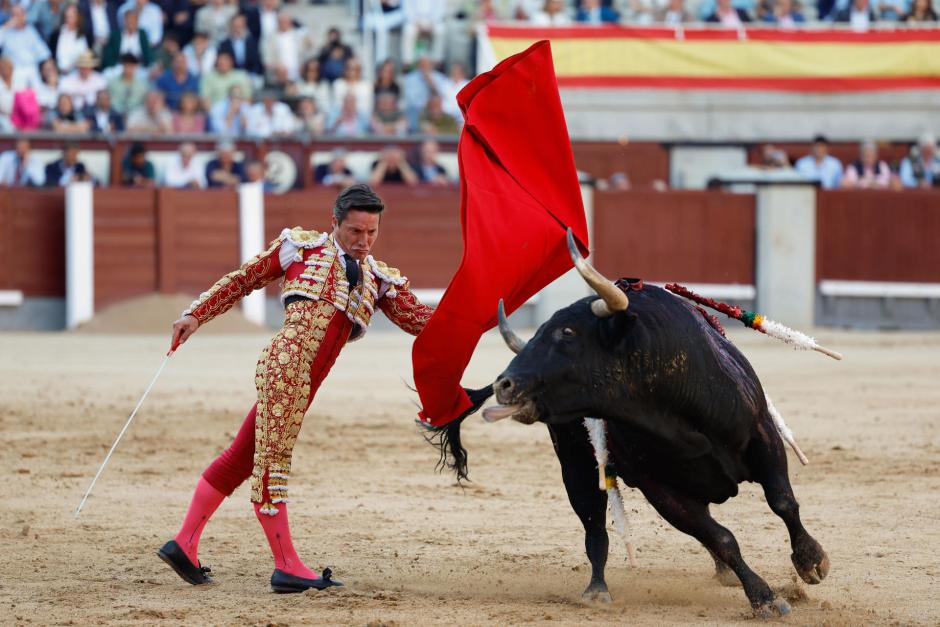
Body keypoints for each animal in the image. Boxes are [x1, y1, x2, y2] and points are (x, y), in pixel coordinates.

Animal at [428, 284, 828, 620]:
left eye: (567, 333)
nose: (505, 384)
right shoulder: (661, 489)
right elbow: (721, 536)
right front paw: (766, 598)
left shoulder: (762, 434)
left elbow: (782, 502)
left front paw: (812, 561)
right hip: (575, 466)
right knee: (594, 525)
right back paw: (597, 591)